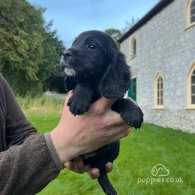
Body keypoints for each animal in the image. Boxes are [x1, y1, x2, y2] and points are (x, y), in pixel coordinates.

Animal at [59, 29, 143, 194]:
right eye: (74, 43)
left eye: (92, 46)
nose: (65, 53)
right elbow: (85, 83)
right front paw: (79, 99)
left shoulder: (111, 94)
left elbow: (120, 100)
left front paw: (134, 112)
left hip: (115, 144)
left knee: (102, 167)